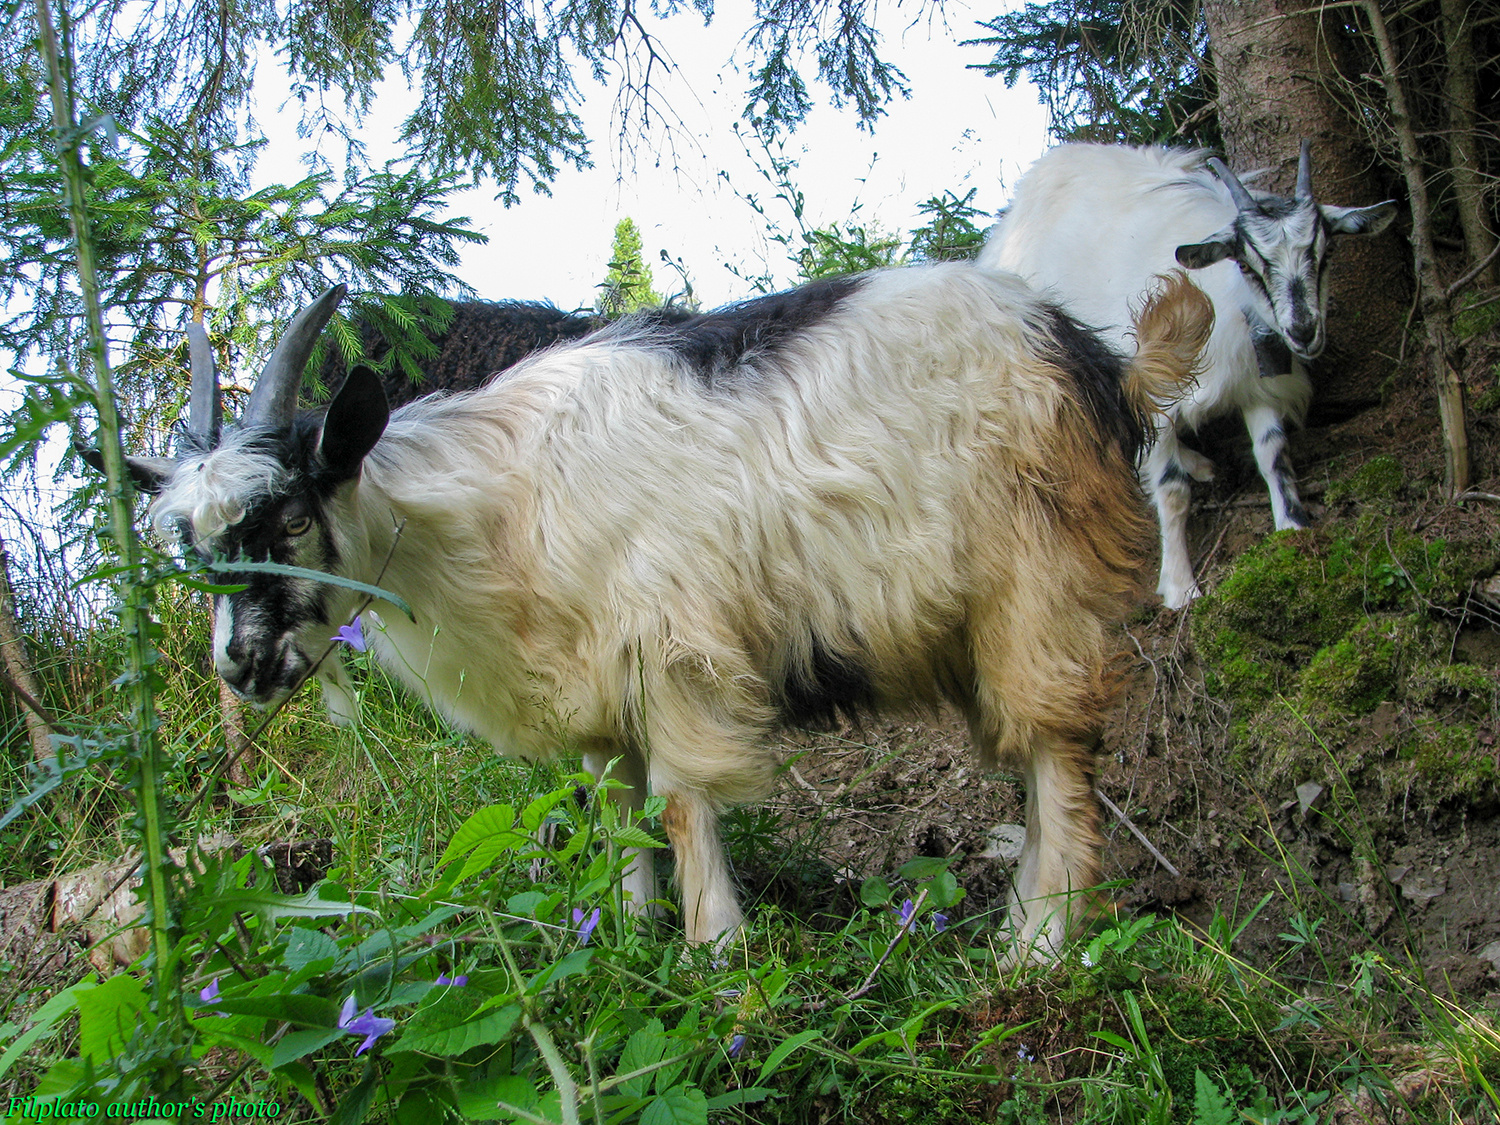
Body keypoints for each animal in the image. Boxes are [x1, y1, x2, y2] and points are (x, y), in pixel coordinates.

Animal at [121, 265, 1211, 960]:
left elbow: (683, 803)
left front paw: (716, 954)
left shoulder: (674, 644)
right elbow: (617, 816)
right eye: (189, 551)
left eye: (292, 516)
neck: (498, 506)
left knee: (1062, 747)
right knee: (1030, 752)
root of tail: (1096, 361)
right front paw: (627, 934)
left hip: (1038, 575)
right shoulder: (597, 690)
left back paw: (1040, 944)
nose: (239, 667)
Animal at [978, 143, 1396, 608]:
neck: (1222, 294)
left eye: (1325, 254)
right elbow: (1171, 489)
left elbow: (1273, 455)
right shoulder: (1156, 392)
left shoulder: (1254, 385)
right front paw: (1180, 585)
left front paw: (1293, 527)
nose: (1303, 330)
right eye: (1248, 263)